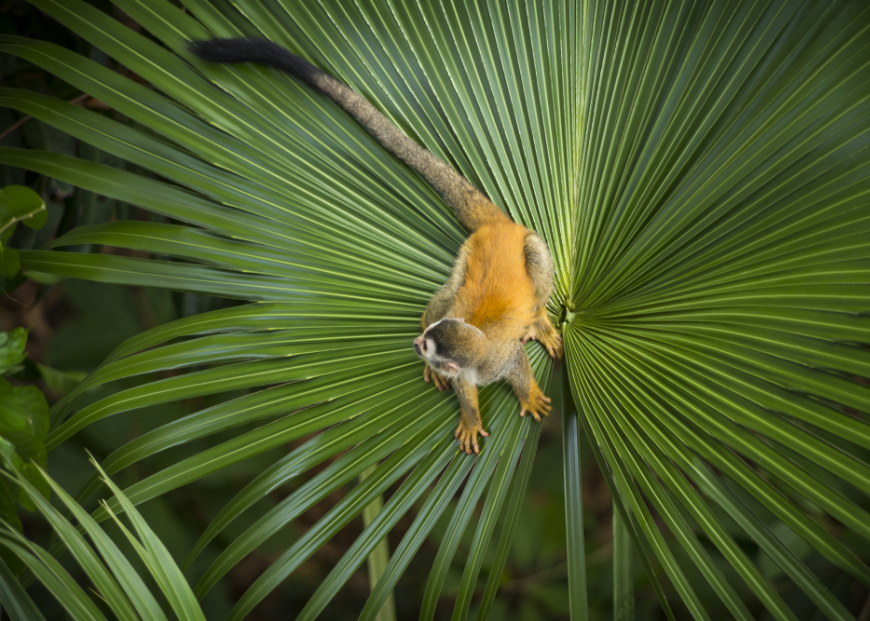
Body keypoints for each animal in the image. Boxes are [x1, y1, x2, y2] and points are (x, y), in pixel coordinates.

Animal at [190, 38, 563, 454]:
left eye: (428, 347)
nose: (416, 342)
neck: (476, 361)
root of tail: (498, 227)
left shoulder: (501, 357)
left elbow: (517, 363)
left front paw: (527, 393)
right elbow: (462, 387)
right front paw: (470, 417)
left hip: (528, 242)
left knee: (536, 261)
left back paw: (540, 319)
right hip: (467, 255)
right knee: (453, 289)